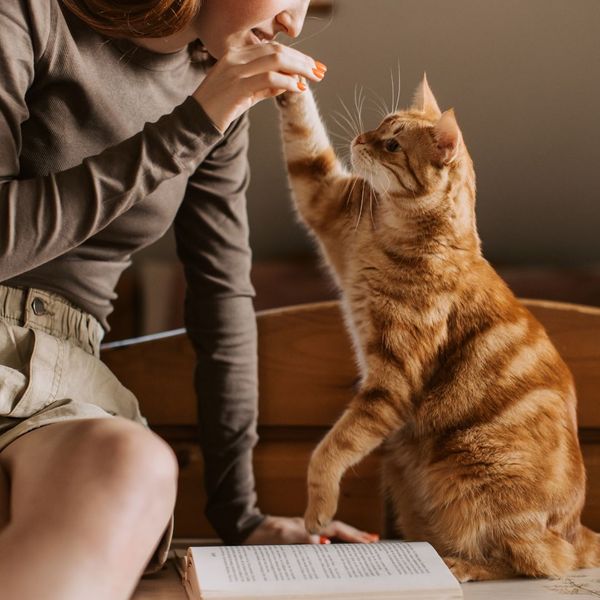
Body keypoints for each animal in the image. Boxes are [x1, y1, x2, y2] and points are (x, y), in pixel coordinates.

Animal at [274, 75, 596, 580]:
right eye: (381, 126)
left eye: (391, 144)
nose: (360, 139)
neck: (388, 230)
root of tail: (577, 529)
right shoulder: (324, 197)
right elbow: (305, 143)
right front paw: (286, 71)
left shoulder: (391, 383)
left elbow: (332, 448)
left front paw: (318, 511)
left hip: (476, 475)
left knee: (530, 560)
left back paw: (457, 565)